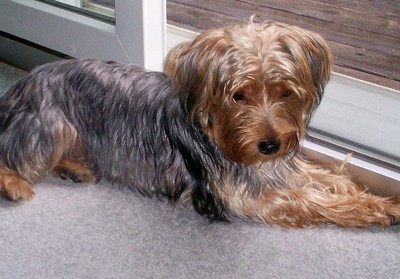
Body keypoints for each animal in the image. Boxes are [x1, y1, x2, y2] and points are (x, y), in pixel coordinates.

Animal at [0, 20, 400, 230]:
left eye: (286, 92)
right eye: (239, 96)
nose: (270, 145)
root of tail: (22, 84)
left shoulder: (277, 167)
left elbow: (324, 177)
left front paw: (373, 198)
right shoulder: (242, 196)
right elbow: (305, 199)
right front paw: (370, 210)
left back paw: (76, 168)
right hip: (47, 124)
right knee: (13, 155)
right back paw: (15, 185)